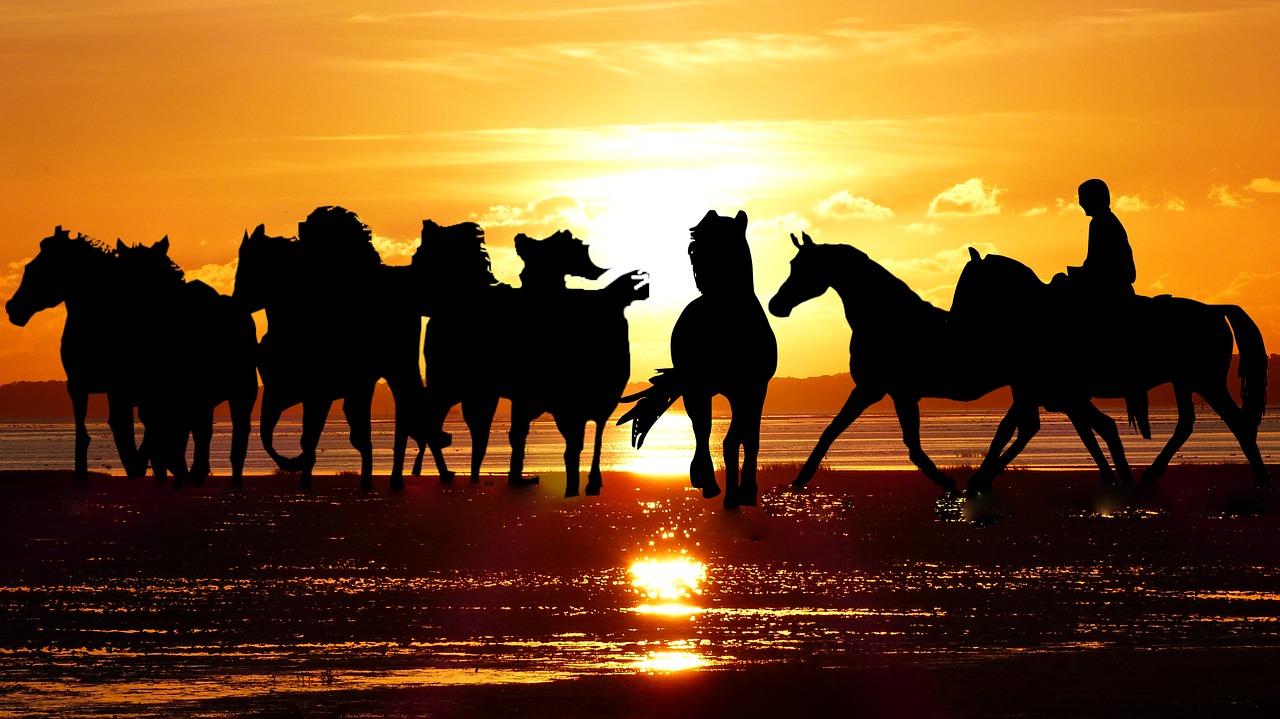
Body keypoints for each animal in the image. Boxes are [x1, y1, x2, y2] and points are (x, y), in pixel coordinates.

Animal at [236, 207, 440, 486]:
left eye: (249, 263)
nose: (235, 302)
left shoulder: (318, 392)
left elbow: (309, 438)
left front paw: (300, 469)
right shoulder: (279, 391)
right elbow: (271, 435)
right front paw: (299, 469)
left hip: (400, 368)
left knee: (405, 412)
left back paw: (396, 478)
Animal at [616, 209, 773, 506]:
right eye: (694, 247)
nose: (702, 277)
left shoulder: (753, 388)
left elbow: (747, 436)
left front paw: (742, 491)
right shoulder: (735, 389)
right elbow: (735, 436)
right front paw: (739, 492)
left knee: (708, 429)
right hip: (697, 390)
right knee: (703, 429)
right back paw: (710, 483)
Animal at [762, 230, 1126, 491]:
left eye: (803, 267)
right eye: (793, 265)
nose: (776, 305)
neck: (887, 320)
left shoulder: (889, 391)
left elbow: (909, 444)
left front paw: (947, 481)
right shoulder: (876, 390)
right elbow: (831, 431)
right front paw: (798, 480)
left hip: (1041, 387)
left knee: (1052, 426)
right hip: (1037, 388)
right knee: (1045, 426)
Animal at [957, 248, 1264, 491]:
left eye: (968, 283)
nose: (956, 316)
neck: (1035, 315)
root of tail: (1215, 309)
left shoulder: (1044, 391)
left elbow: (1009, 430)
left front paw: (979, 479)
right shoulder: (1045, 392)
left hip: (1207, 382)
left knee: (1237, 422)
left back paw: (1260, 476)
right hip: (1184, 382)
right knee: (1187, 422)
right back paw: (1152, 472)